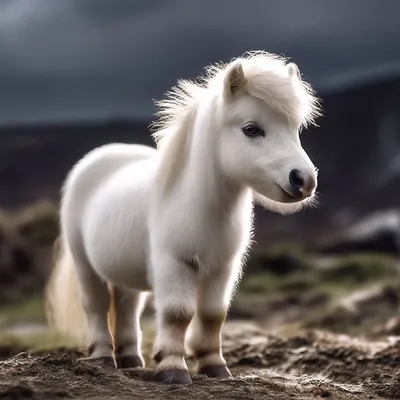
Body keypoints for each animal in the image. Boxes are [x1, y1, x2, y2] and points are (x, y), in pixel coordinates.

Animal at [46, 50, 322, 384]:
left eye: (296, 128)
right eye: (251, 129)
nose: (303, 180)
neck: (201, 205)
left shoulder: (221, 268)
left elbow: (213, 315)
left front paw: (214, 365)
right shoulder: (174, 263)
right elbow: (178, 313)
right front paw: (173, 368)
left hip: (124, 270)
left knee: (126, 309)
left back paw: (130, 359)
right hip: (85, 265)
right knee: (97, 306)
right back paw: (102, 357)